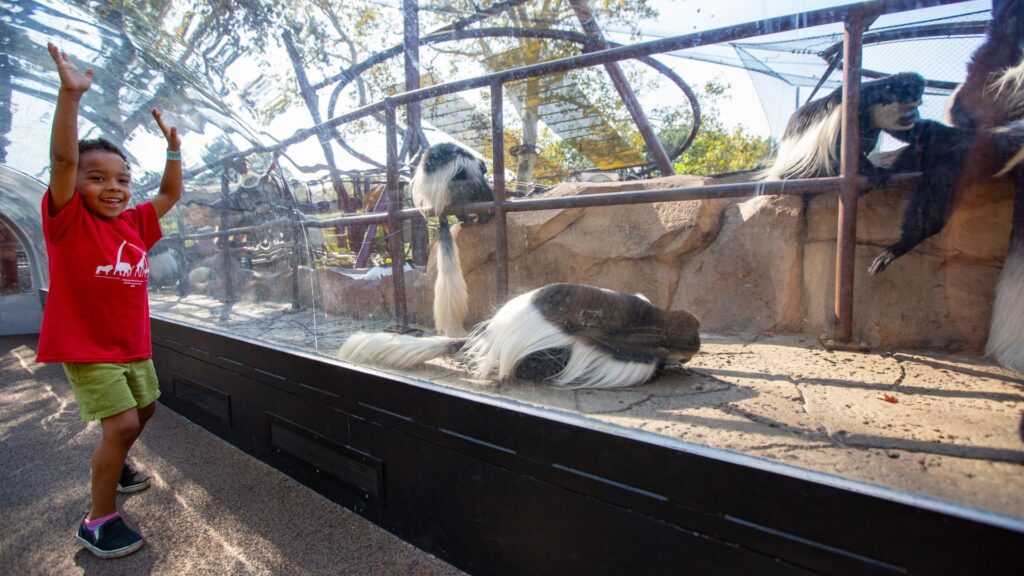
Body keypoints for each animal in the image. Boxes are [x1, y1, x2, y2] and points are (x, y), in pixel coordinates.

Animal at [409, 142, 495, 337]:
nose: (485, 169)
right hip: (457, 185)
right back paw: (483, 216)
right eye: (484, 168)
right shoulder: (469, 165)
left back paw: (466, 220)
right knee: (477, 188)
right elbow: (481, 185)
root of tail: (437, 201)